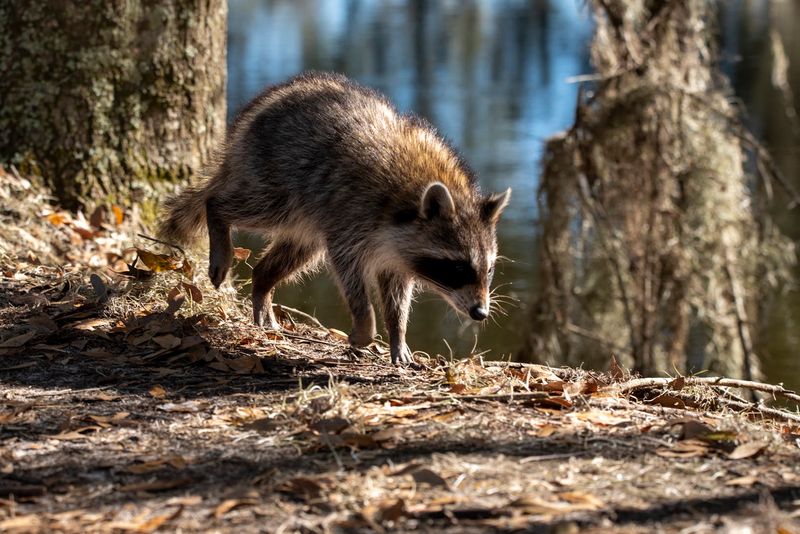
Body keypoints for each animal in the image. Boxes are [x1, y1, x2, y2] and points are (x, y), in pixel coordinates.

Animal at [160, 72, 510, 365]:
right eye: (458, 267)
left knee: (293, 252)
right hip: (277, 178)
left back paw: (262, 285)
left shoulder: (397, 251)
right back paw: (218, 218)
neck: (413, 191)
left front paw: (398, 335)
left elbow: (397, 294)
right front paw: (365, 326)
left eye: (489, 269)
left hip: (308, 219)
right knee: (239, 203)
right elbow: (349, 273)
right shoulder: (353, 218)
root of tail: (267, 100)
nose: (480, 312)